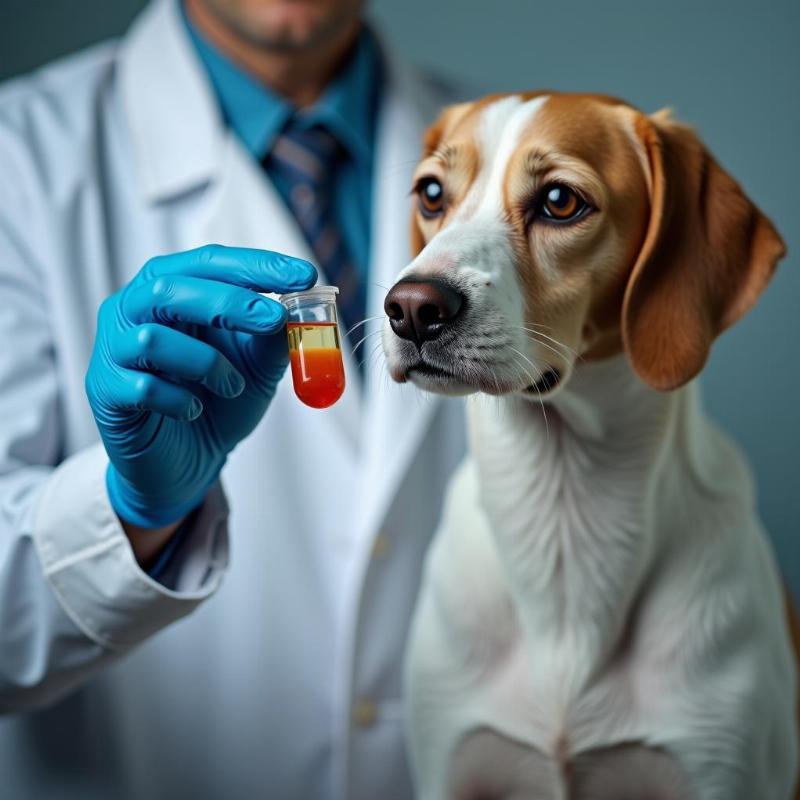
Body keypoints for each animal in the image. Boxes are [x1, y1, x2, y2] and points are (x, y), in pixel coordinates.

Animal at [382, 90, 800, 796]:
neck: (562, 507)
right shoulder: (448, 764)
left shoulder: (720, 767)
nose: (411, 307)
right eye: (432, 193)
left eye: (559, 200)